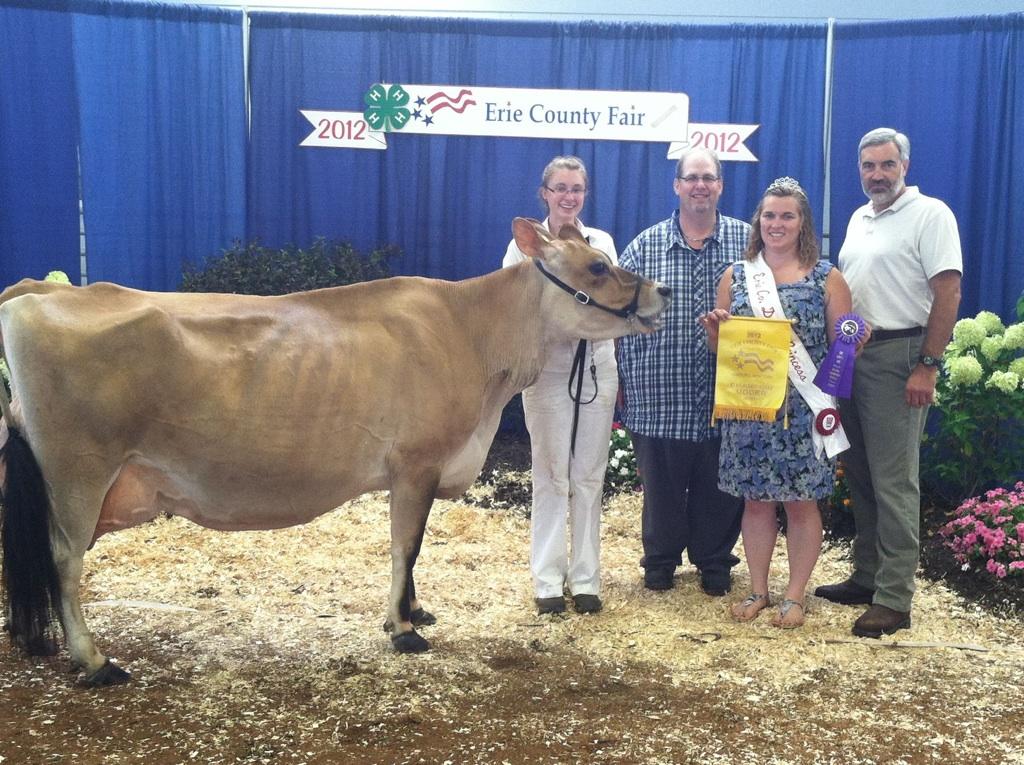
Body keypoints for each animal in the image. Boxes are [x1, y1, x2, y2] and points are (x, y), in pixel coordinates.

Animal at [0, 217, 670, 686]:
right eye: (597, 266)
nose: (662, 291)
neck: (474, 334)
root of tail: (33, 292)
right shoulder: (417, 461)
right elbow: (407, 545)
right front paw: (403, 629)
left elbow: (412, 550)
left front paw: (414, 611)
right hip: (78, 470)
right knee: (64, 561)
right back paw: (93, 662)